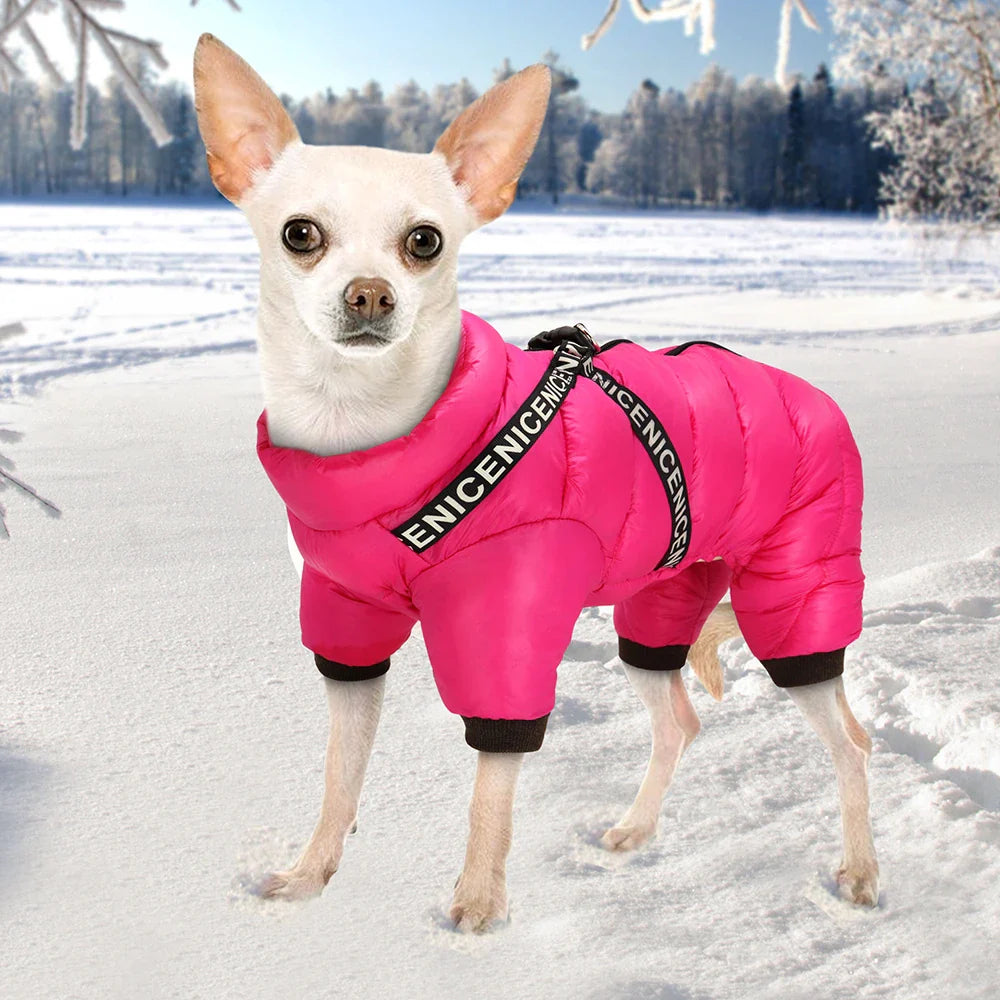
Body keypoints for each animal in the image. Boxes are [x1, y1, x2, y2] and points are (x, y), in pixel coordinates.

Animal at [193, 35, 876, 932]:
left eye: (425, 242)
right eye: (299, 233)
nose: (370, 294)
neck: (366, 440)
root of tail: (819, 398)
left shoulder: (504, 632)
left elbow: (492, 788)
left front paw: (478, 906)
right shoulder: (348, 627)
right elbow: (341, 775)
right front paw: (311, 876)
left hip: (796, 599)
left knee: (850, 744)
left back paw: (860, 871)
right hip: (660, 606)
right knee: (679, 720)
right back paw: (636, 830)